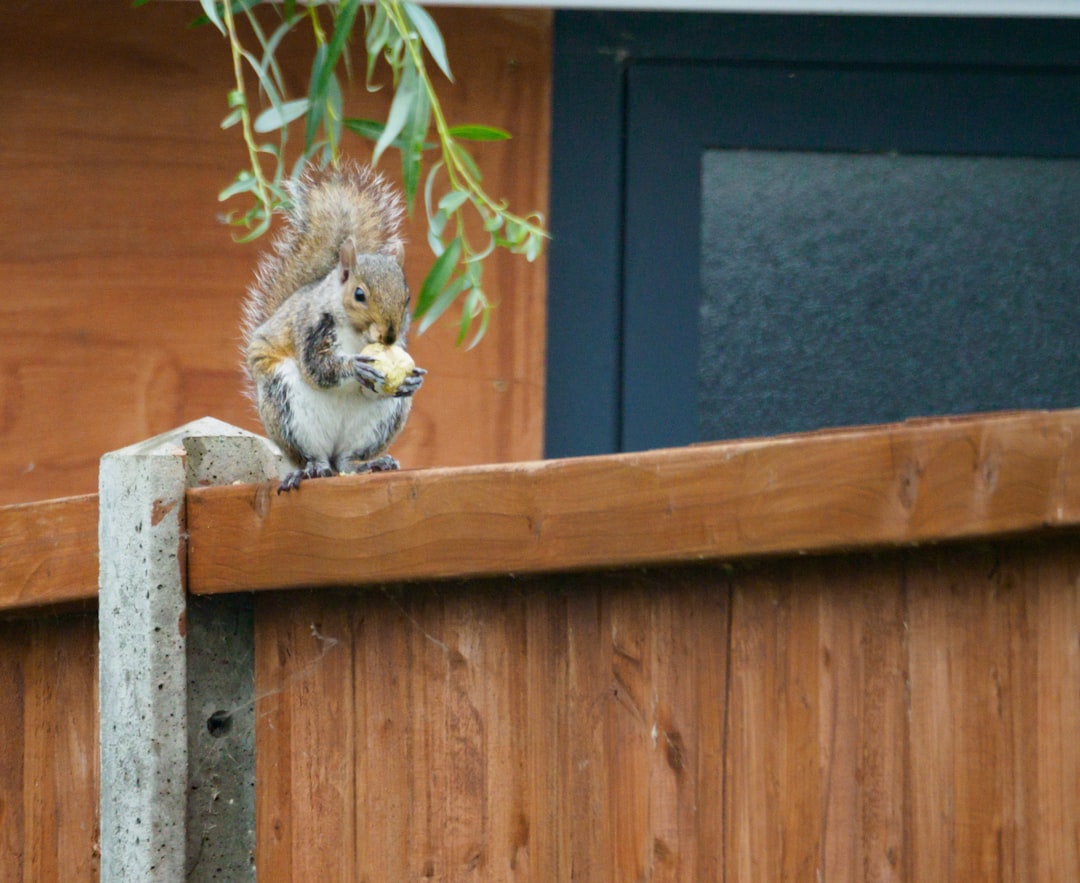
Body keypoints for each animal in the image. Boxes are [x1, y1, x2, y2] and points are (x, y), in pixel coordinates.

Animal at [243, 158, 423, 487]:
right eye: (359, 294)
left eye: (406, 297)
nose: (390, 337)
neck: (358, 335)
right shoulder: (310, 329)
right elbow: (318, 368)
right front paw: (354, 366)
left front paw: (413, 379)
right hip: (286, 406)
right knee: (313, 456)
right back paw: (312, 469)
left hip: (381, 422)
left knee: (347, 459)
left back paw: (368, 464)